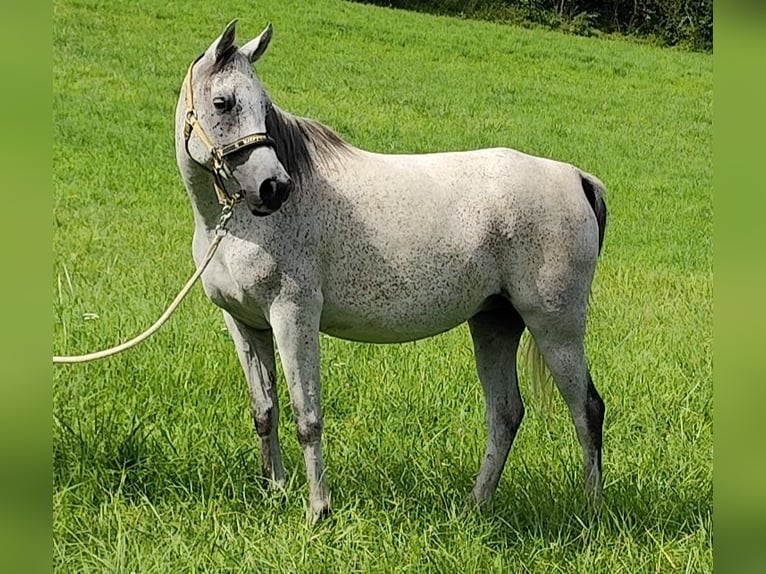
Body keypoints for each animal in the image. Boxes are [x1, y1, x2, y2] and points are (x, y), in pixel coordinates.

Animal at [177, 20, 608, 520]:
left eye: (264, 107)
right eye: (223, 102)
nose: (274, 187)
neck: (235, 225)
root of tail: (577, 178)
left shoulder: (292, 316)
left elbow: (308, 417)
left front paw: (318, 510)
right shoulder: (246, 324)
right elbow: (265, 411)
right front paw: (276, 492)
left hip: (556, 328)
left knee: (587, 409)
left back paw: (592, 511)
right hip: (494, 323)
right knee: (505, 413)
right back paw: (474, 506)